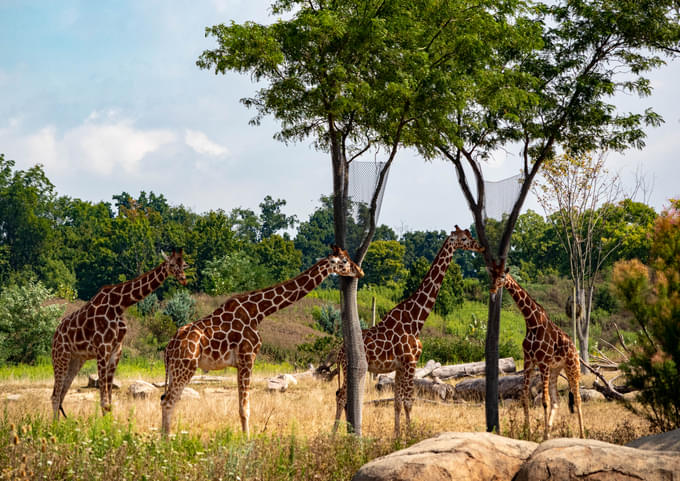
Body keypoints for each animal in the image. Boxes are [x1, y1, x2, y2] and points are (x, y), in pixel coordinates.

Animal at [50, 249, 189, 418]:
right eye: (172, 264)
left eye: (184, 264)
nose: (183, 279)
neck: (120, 305)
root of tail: (55, 335)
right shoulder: (102, 349)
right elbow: (104, 401)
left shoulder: (116, 349)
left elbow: (109, 401)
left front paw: (111, 424)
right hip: (60, 356)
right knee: (55, 396)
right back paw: (55, 425)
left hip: (76, 359)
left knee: (61, 393)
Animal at [160, 246, 364, 434]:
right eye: (344, 261)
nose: (360, 271)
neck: (258, 312)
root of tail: (169, 348)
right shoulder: (247, 358)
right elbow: (244, 409)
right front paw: (246, 442)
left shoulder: (241, 362)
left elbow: (242, 407)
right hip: (185, 367)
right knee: (169, 401)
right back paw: (166, 445)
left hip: (176, 369)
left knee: (166, 399)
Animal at [334, 225, 484, 436]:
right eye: (463, 238)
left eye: (469, 235)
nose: (479, 247)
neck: (416, 321)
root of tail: (339, 352)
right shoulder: (410, 362)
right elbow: (408, 401)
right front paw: (410, 435)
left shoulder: (399, 366)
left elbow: (397, 402)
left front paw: (397, 435)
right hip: (350, 368)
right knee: (340, 396)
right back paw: (333, 437)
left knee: (342, 396)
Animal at [500, 270, 584, 438]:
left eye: (503, 276)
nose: (494, 285)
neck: (532, 322)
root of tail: (574, 348)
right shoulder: (529, 361)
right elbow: (525, 397)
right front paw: (528, 432)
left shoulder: (543, 362)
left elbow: (544, 400)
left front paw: (538, 434)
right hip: (555, 370)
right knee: (557, 400)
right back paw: (549, 432)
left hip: (572, 367)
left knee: (577, 398)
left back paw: (582, 435)